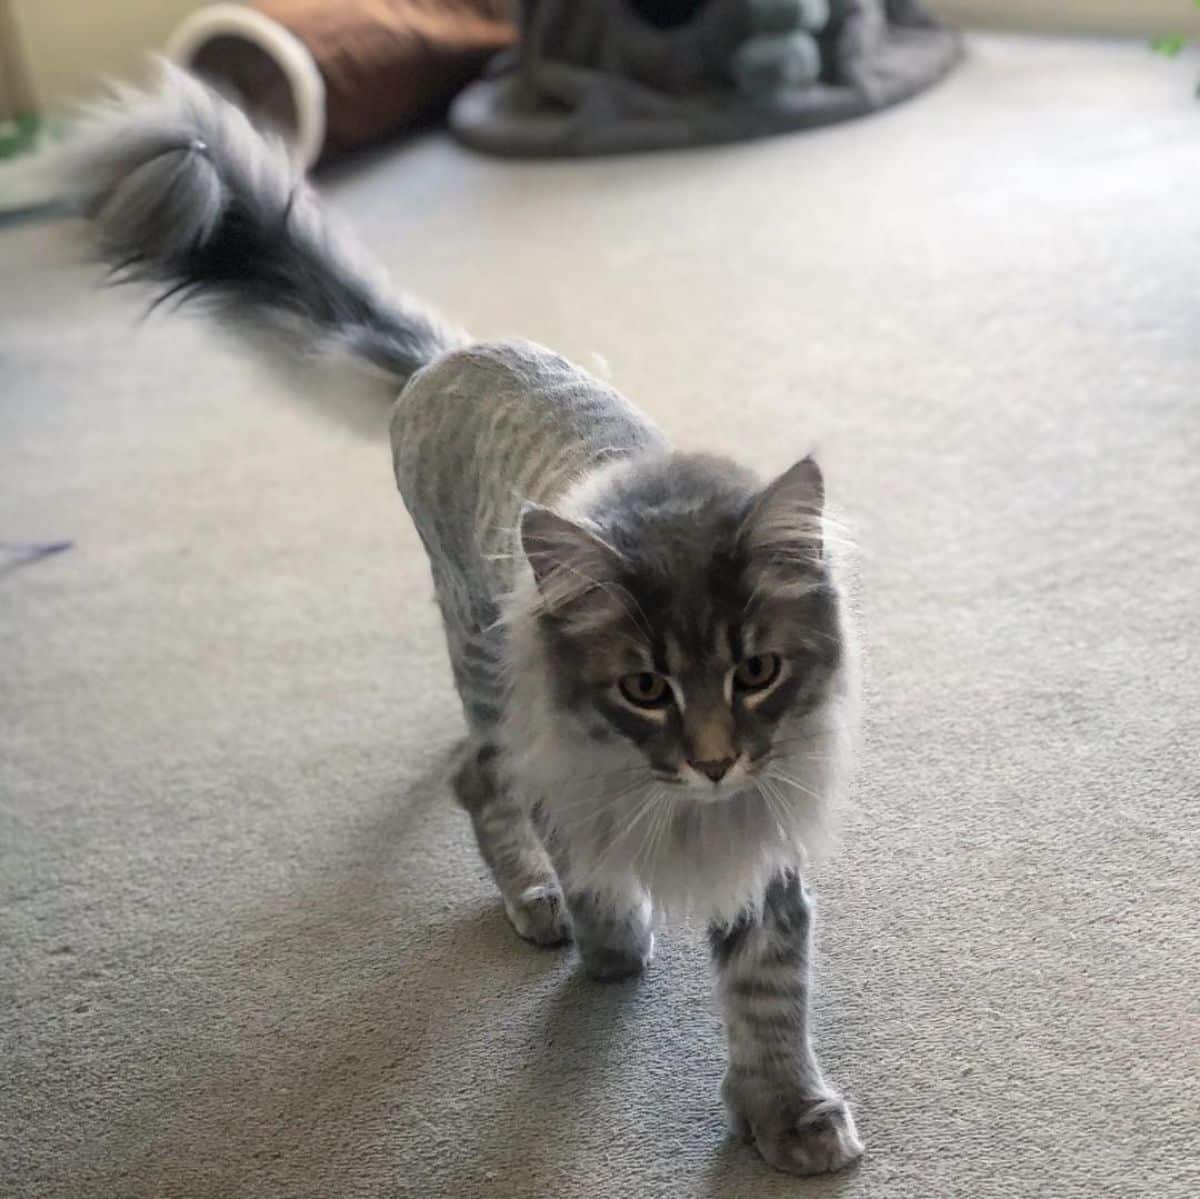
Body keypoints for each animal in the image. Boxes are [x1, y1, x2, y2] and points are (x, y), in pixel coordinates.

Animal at [68, 68, 864, 1180]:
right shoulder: (572, 773)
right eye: (645, 687)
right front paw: (611, 945)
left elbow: (767, 997)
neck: (679, 807)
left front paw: (784, 1112)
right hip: (478, 651)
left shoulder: (764, 845)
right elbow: (597, 883)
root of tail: (448, 355)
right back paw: (536, 903)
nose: (714, 761)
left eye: (756, 672)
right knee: (478, 786)